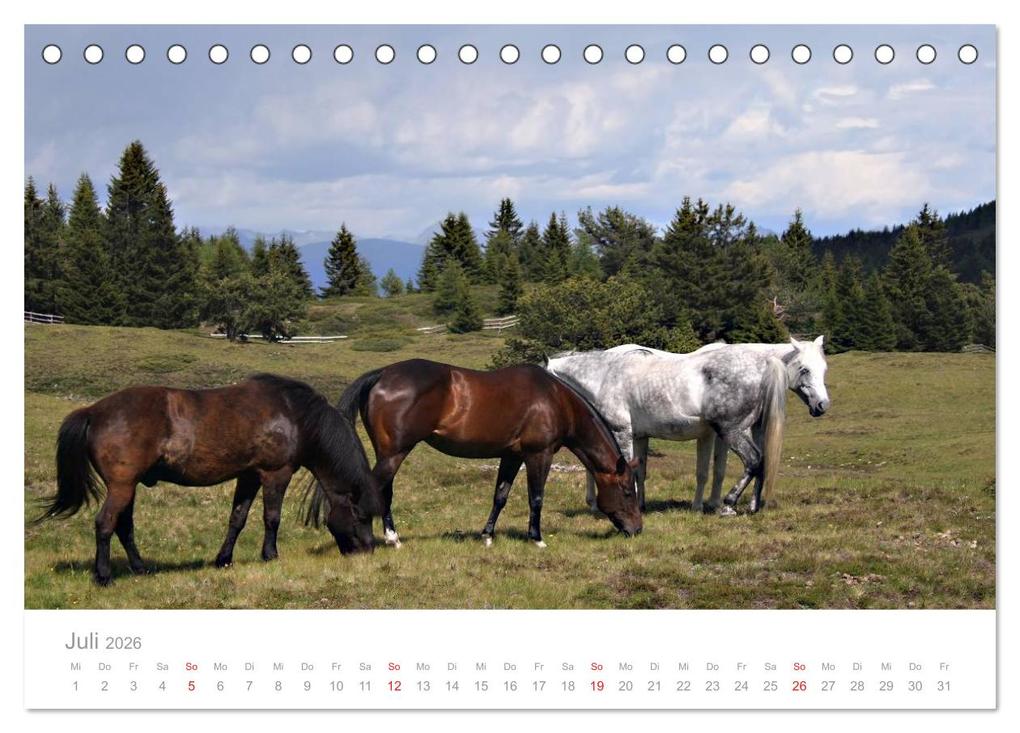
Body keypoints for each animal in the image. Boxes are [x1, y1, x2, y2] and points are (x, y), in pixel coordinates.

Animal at [40, 374, 382, 585]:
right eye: (360, 516)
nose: (367, 550)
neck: (293, 414)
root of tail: (93, 411)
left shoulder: (248, 476)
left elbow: (237, 518)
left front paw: (224, 560)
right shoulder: (275, 474)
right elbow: (272, 517)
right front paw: (270, 556)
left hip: (127, 487)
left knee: (124, 528)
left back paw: (141, 569)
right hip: (122, 487)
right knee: (105, 524)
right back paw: (104, 576)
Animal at [305, 359, 642, 548]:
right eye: (627, 492)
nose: (637, 530)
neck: (554, 399)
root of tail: (382, 374)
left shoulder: (511, 456)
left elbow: (500, 496)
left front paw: (487, 536)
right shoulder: (539, 455)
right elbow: (536, 497)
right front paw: (536, 538)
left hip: (388, 454)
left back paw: (391, 537)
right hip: (394, 454)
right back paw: (375, 538)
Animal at [546, 336, 830, 514]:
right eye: (805, 369)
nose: (822, 405)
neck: (607, 375)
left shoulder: (622, 433)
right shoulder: (639, 436)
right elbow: (639, 471)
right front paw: (641, 505)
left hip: (732, 431)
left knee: (754, 460)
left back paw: (728, 504)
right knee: (761, 462)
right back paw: (750, 506)